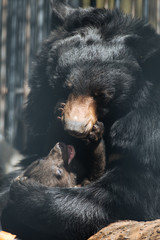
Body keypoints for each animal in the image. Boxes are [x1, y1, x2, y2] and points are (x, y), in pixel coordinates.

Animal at [1, 0, 160, 239]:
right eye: (66, 86)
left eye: (102, 94)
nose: (74, 129)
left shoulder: (146, 131)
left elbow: (130, 191)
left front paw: (24, 197)